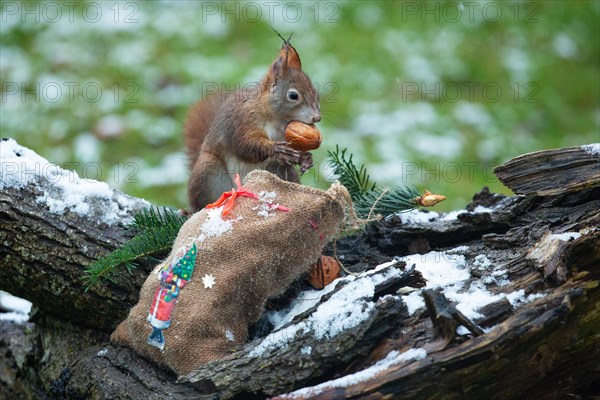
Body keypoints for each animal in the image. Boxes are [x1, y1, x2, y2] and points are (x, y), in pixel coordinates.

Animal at [184, 38, 322, 212]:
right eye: (293, 95)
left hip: (277, 170)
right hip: (209, 174)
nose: (317, 117)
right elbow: (245, 145)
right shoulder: (244, 120)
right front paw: (274, 148)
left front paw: (305, 158)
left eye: (315, 91)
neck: (277, 119)